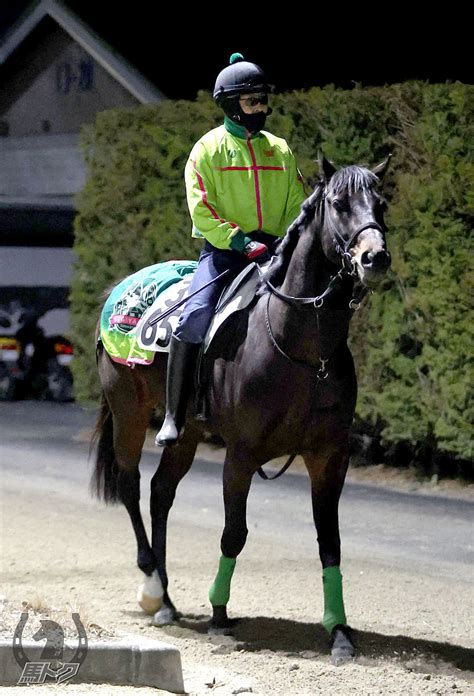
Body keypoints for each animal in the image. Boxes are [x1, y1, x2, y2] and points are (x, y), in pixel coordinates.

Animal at [92, 155, 392, 660]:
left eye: (382, 203)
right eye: (338, 202)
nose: (375, 257)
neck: (301, 351)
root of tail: (121, 291)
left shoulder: (329, 456)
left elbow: (329, 540)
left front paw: (339, 632)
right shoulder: (241, 454)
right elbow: (234, 532)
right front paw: (218, 614)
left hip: (187, 433)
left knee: (160, 492)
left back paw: (168, 601)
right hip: (129, 412)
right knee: (131, 486)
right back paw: (152, 586)